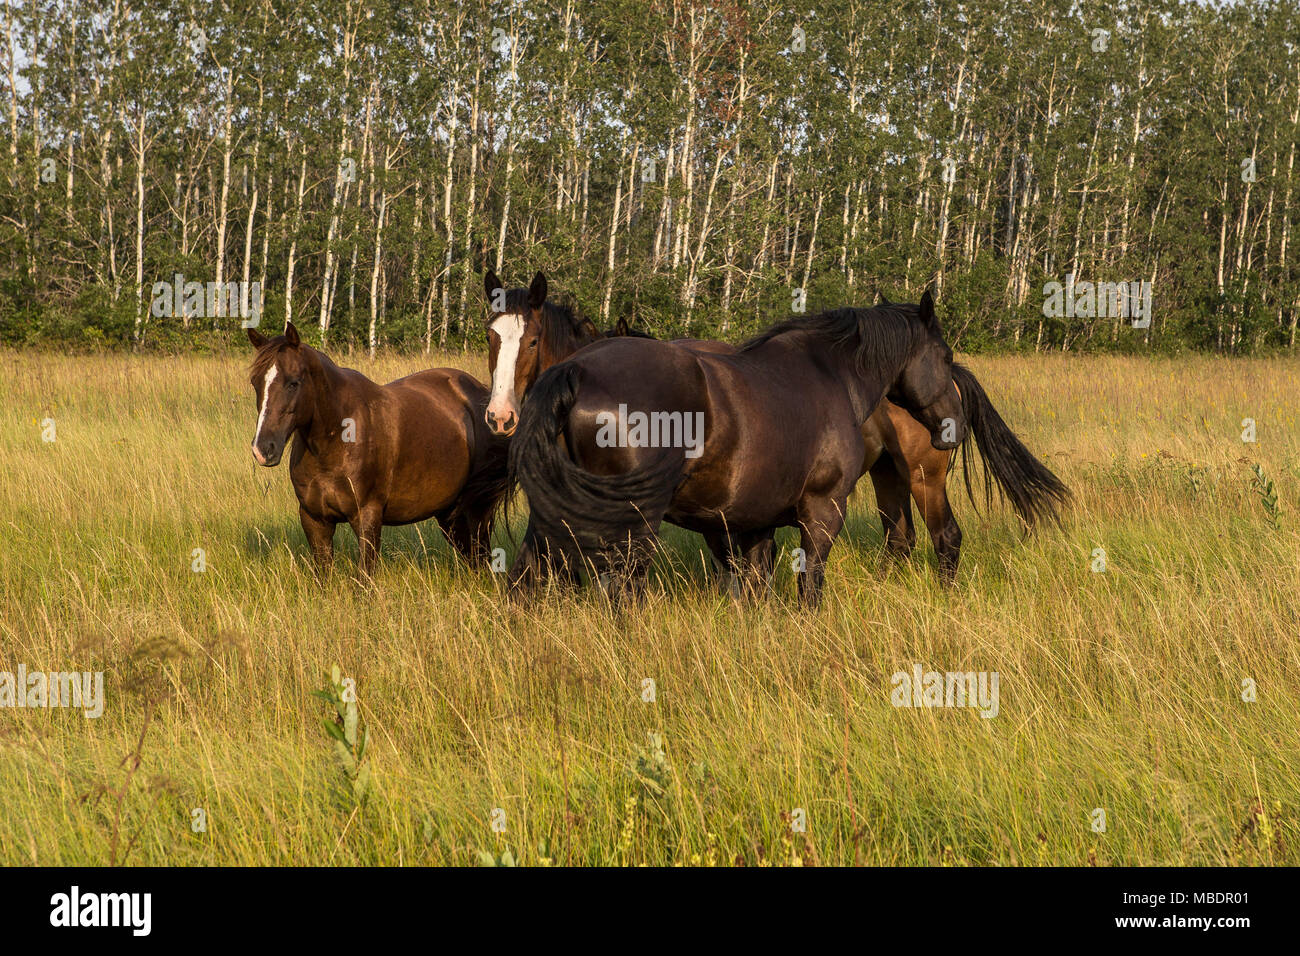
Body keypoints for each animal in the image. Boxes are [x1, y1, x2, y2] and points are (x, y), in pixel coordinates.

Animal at [245, 321, 509, 574]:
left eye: (293, 383)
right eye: (255, 382)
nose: (263, 449)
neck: (336, 440)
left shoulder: (367, 516)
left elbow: (365, 575)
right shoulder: (314, 519)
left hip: (477, 509)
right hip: (449, 511)